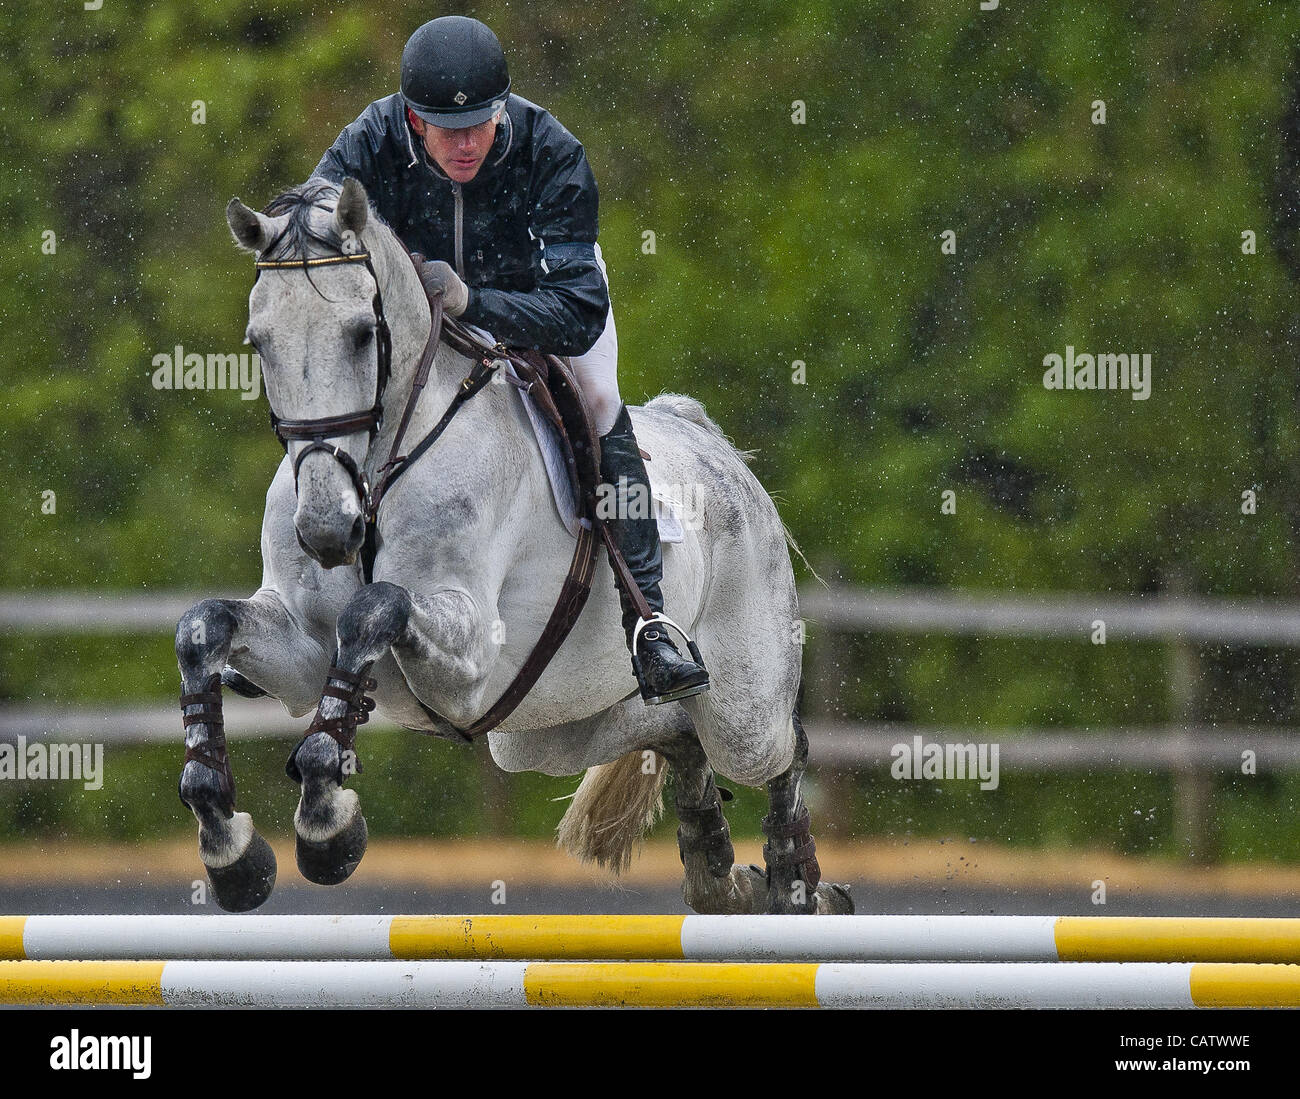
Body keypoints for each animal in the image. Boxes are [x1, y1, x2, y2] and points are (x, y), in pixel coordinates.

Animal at [176, 176, 852, 916]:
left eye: (362, 334)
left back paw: (797, 886)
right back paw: (721, 873)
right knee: (672, 735)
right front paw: (230, 846)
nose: (327, 531)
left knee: (779, 748)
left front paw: (327, 828)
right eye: (259, 342)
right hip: (544, 726)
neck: (379, 468)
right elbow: (202, 626)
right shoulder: (301, 651)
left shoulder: (470, 651)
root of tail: (706, 436)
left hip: (738, 706)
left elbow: (375, 607)